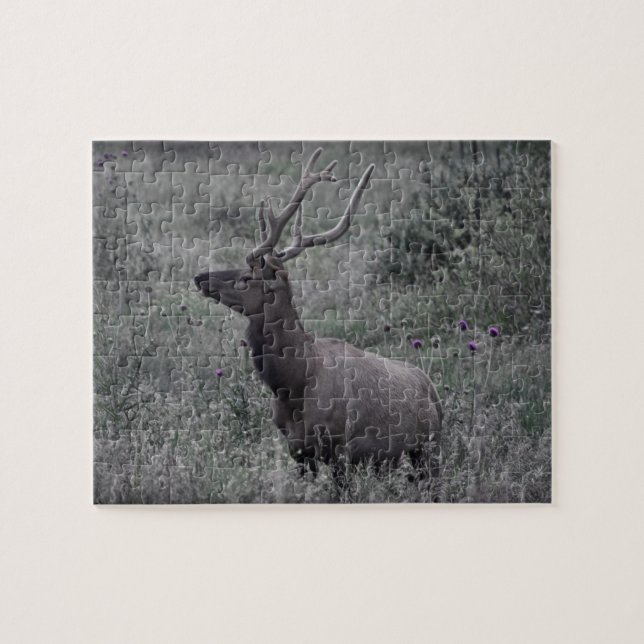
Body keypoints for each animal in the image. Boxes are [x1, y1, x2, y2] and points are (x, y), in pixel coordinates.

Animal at [194, 147, 442, 486]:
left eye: (246, 277)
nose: (199, 277)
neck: (294, 384)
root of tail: (434, 392)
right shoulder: (296, 449)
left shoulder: (340, 447)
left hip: (429, 448)